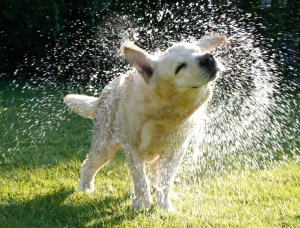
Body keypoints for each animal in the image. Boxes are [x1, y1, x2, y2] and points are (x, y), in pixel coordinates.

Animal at [64, 35, 226, 212]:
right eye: (180, 67)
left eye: (198, 51)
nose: (208, 58)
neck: (165, 110)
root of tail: (104, 93)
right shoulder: (132, 147)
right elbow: (140, 179)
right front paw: (142, 204)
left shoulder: (176, 149)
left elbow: (165, 180)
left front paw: (164, 207)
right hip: (104, 146)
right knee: (88, 164)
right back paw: (85, 189)